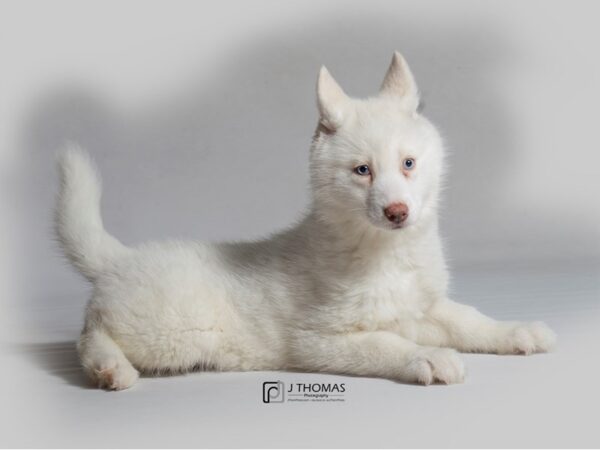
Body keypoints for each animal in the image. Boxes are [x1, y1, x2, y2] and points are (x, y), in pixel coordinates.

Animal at [54, 51, 556, 390]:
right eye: (362, 171)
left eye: (409, 163)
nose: (397, 211)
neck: (385, 252)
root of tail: (119, 258)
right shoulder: (319, 340)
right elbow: (386, 345)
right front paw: (430, 357)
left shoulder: (423, 307)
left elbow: (469, 318)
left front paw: (515, 331)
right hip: (170, 332)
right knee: (89, 334)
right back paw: (110, 368)